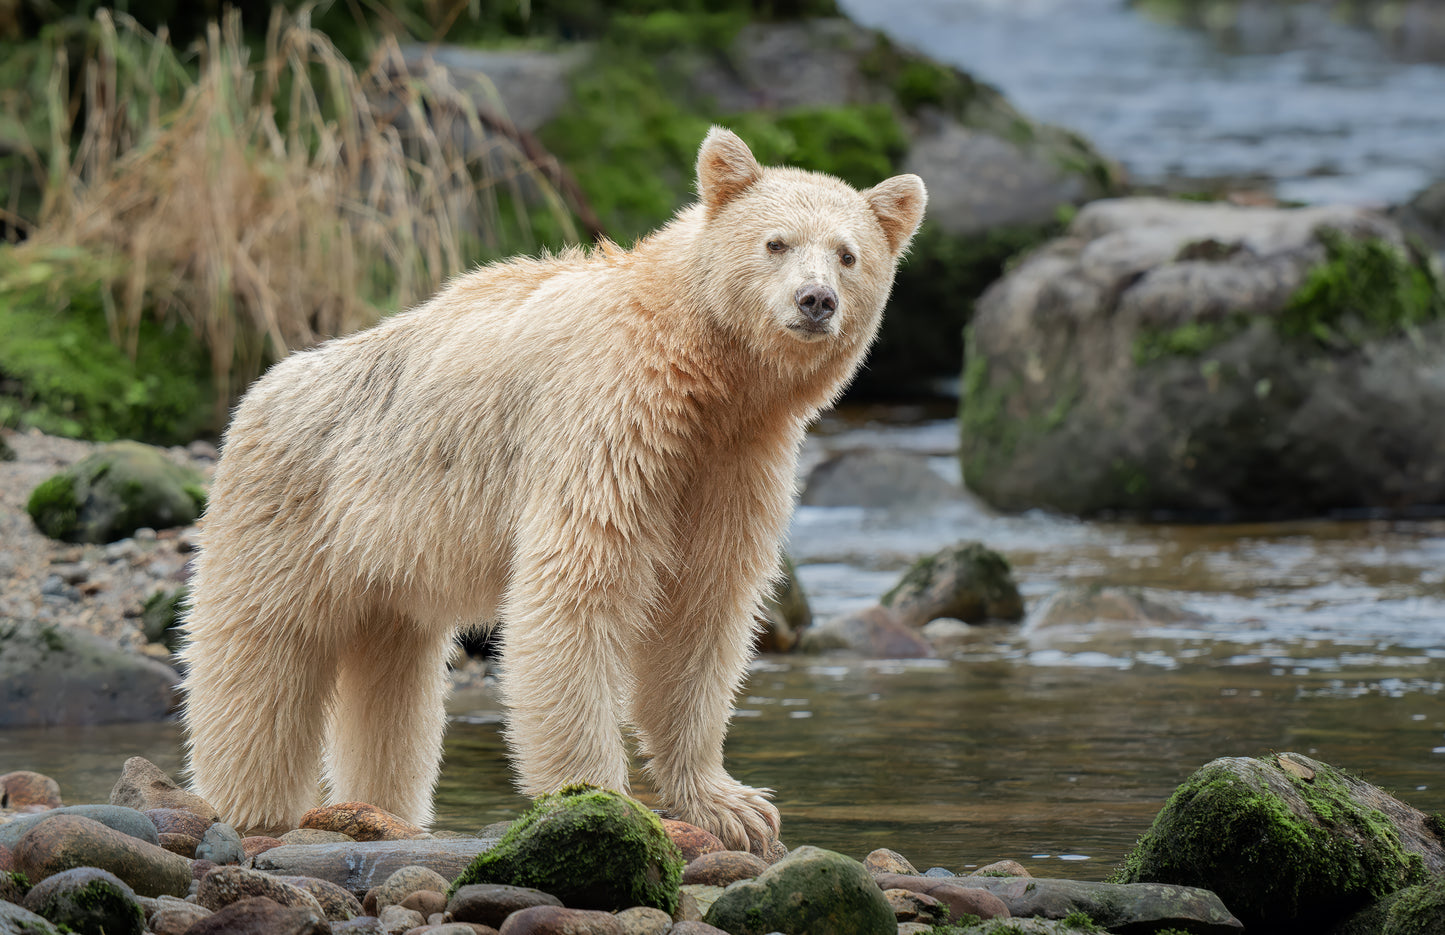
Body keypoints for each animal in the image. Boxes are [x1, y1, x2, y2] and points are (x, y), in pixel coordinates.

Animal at [180, 127, 924, 861]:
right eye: (775, 242)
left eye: (848, 255)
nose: (815, 300)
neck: (701, 369)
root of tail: (257, 393)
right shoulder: (609, 423)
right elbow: (579, 588)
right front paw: (602, 800)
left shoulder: (732, 462)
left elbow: (702, 608)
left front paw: (731, 806)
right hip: (291, 512)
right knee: (260, 662)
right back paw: (253, 807)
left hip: (387, 559)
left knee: (392, 680)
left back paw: (384, 806)